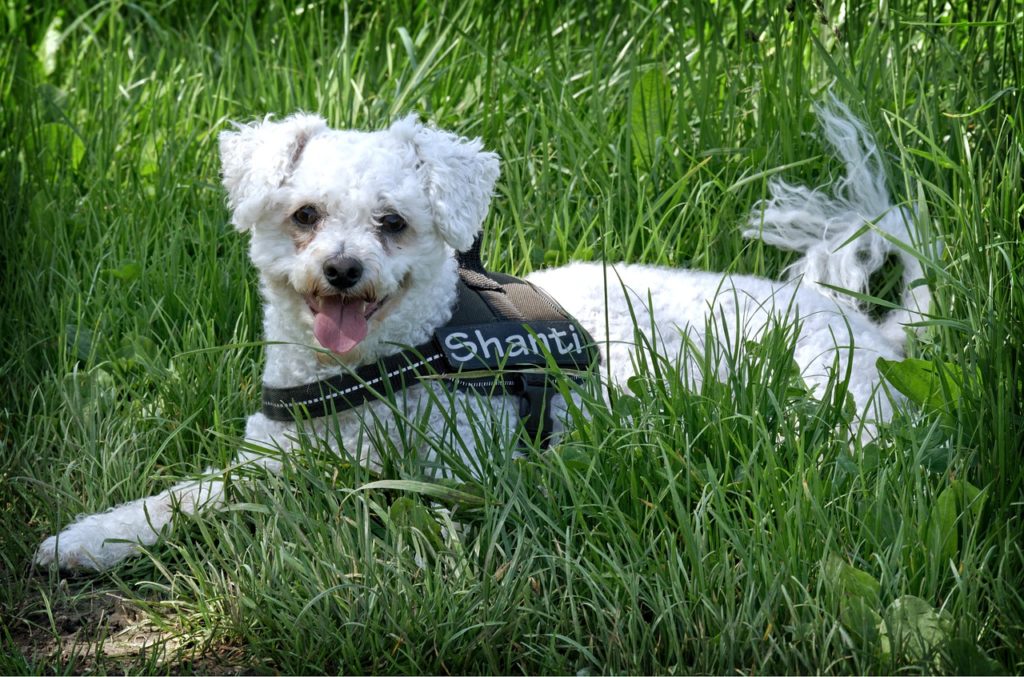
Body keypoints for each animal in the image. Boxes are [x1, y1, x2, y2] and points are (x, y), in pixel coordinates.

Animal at [34, 104, 929, 569]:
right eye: (305, 215)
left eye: (393, 223)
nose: (343, 270)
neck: (387, 368)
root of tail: (867, 324)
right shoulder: (270, 457)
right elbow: (187, 495)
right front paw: (95, 538)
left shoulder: (461, 477)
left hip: (835, 397)